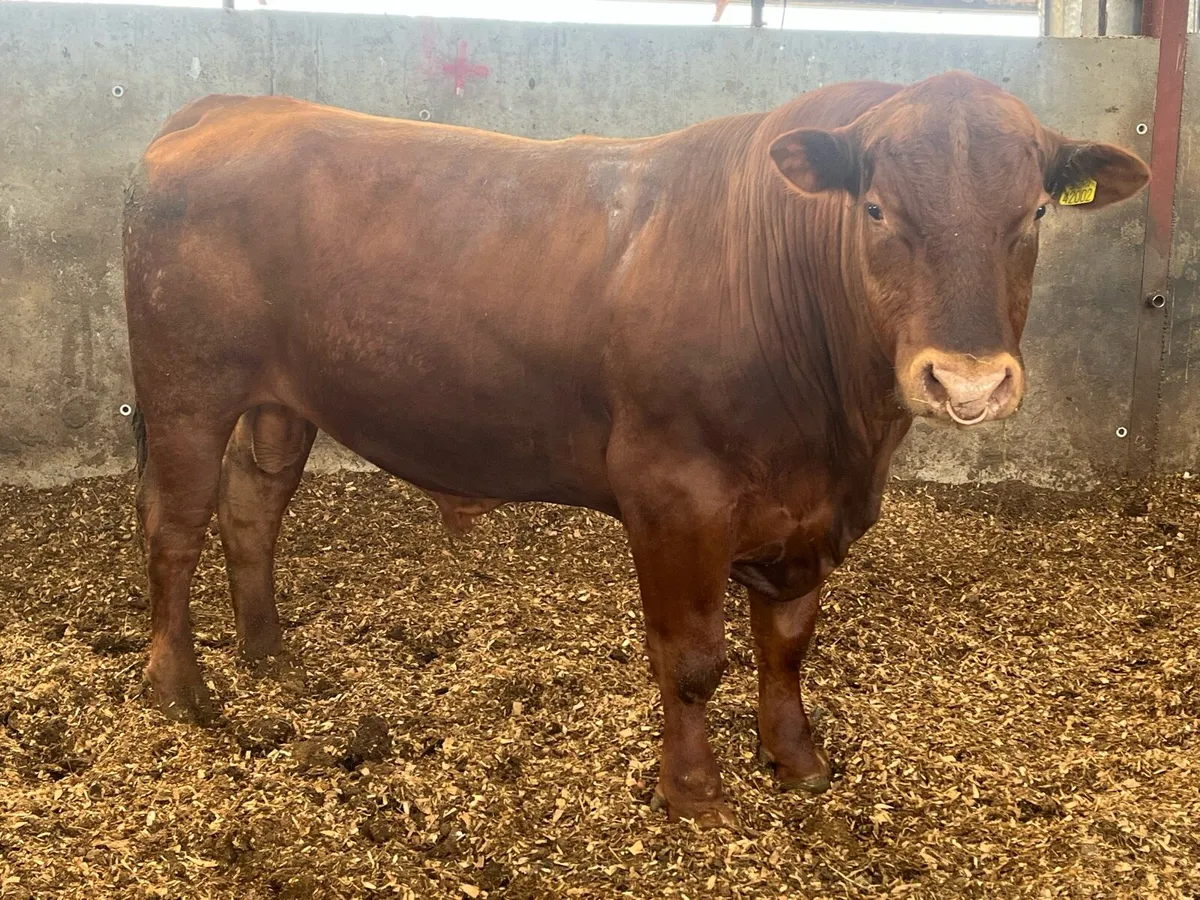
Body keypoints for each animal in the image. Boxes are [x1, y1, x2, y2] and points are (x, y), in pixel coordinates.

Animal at [123, 71, 1148, 826]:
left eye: (1035, 216)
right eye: (876, 211)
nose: (967, 381)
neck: (840, 433)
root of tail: (224, 108)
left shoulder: (805, 512)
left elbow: (786, 645)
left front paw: (797, 759)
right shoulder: (671, 494)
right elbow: (691, 657)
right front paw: (692, 792)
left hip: (279, 399)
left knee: (253, 504)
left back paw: (267, 649)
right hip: (185, 386)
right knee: (174, 525)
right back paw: (178, 685)